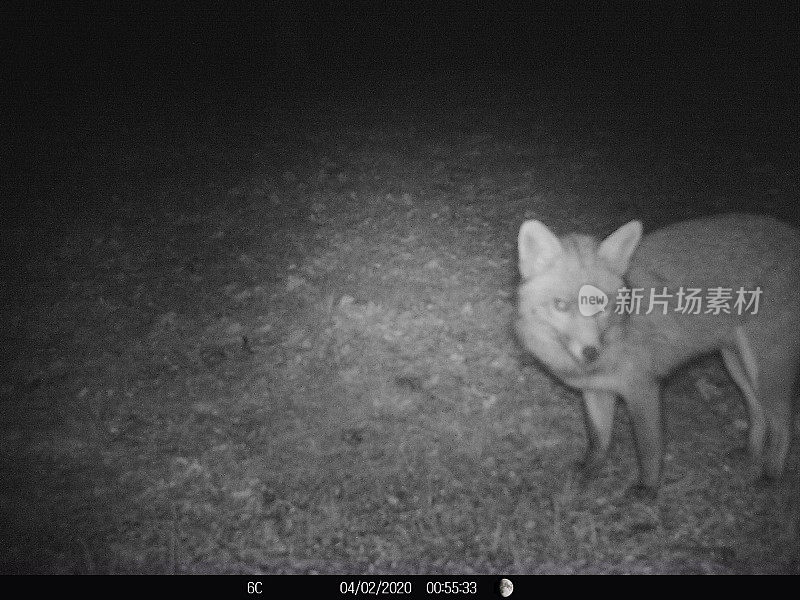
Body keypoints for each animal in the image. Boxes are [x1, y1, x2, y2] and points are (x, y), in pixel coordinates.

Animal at [516, 213, 796, 500]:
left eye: (600, 304)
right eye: (560, 305)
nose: (591, 351)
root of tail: (788, 232)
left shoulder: (643, 388)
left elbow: (648, 446)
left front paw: (648, 488)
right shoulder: (596, 390)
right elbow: (598, 439)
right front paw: (588, 472)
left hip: (764, 369)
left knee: (784, 424)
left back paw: (772, 475)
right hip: (736, 365)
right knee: (758, 412)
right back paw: (751, 453)